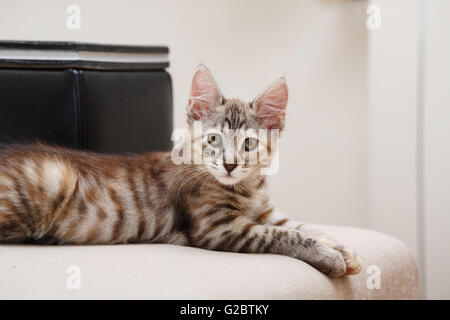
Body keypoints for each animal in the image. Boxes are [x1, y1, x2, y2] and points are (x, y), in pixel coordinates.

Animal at [0, 65, 360, 278]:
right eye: (213, 139)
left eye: (248, 144)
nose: (230, 165)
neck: (246, 189)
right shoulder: (219, 227)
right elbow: (282, 235)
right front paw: (328, 256)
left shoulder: (266, 212)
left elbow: (306, 226)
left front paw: (343, 248)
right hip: (51, 182)